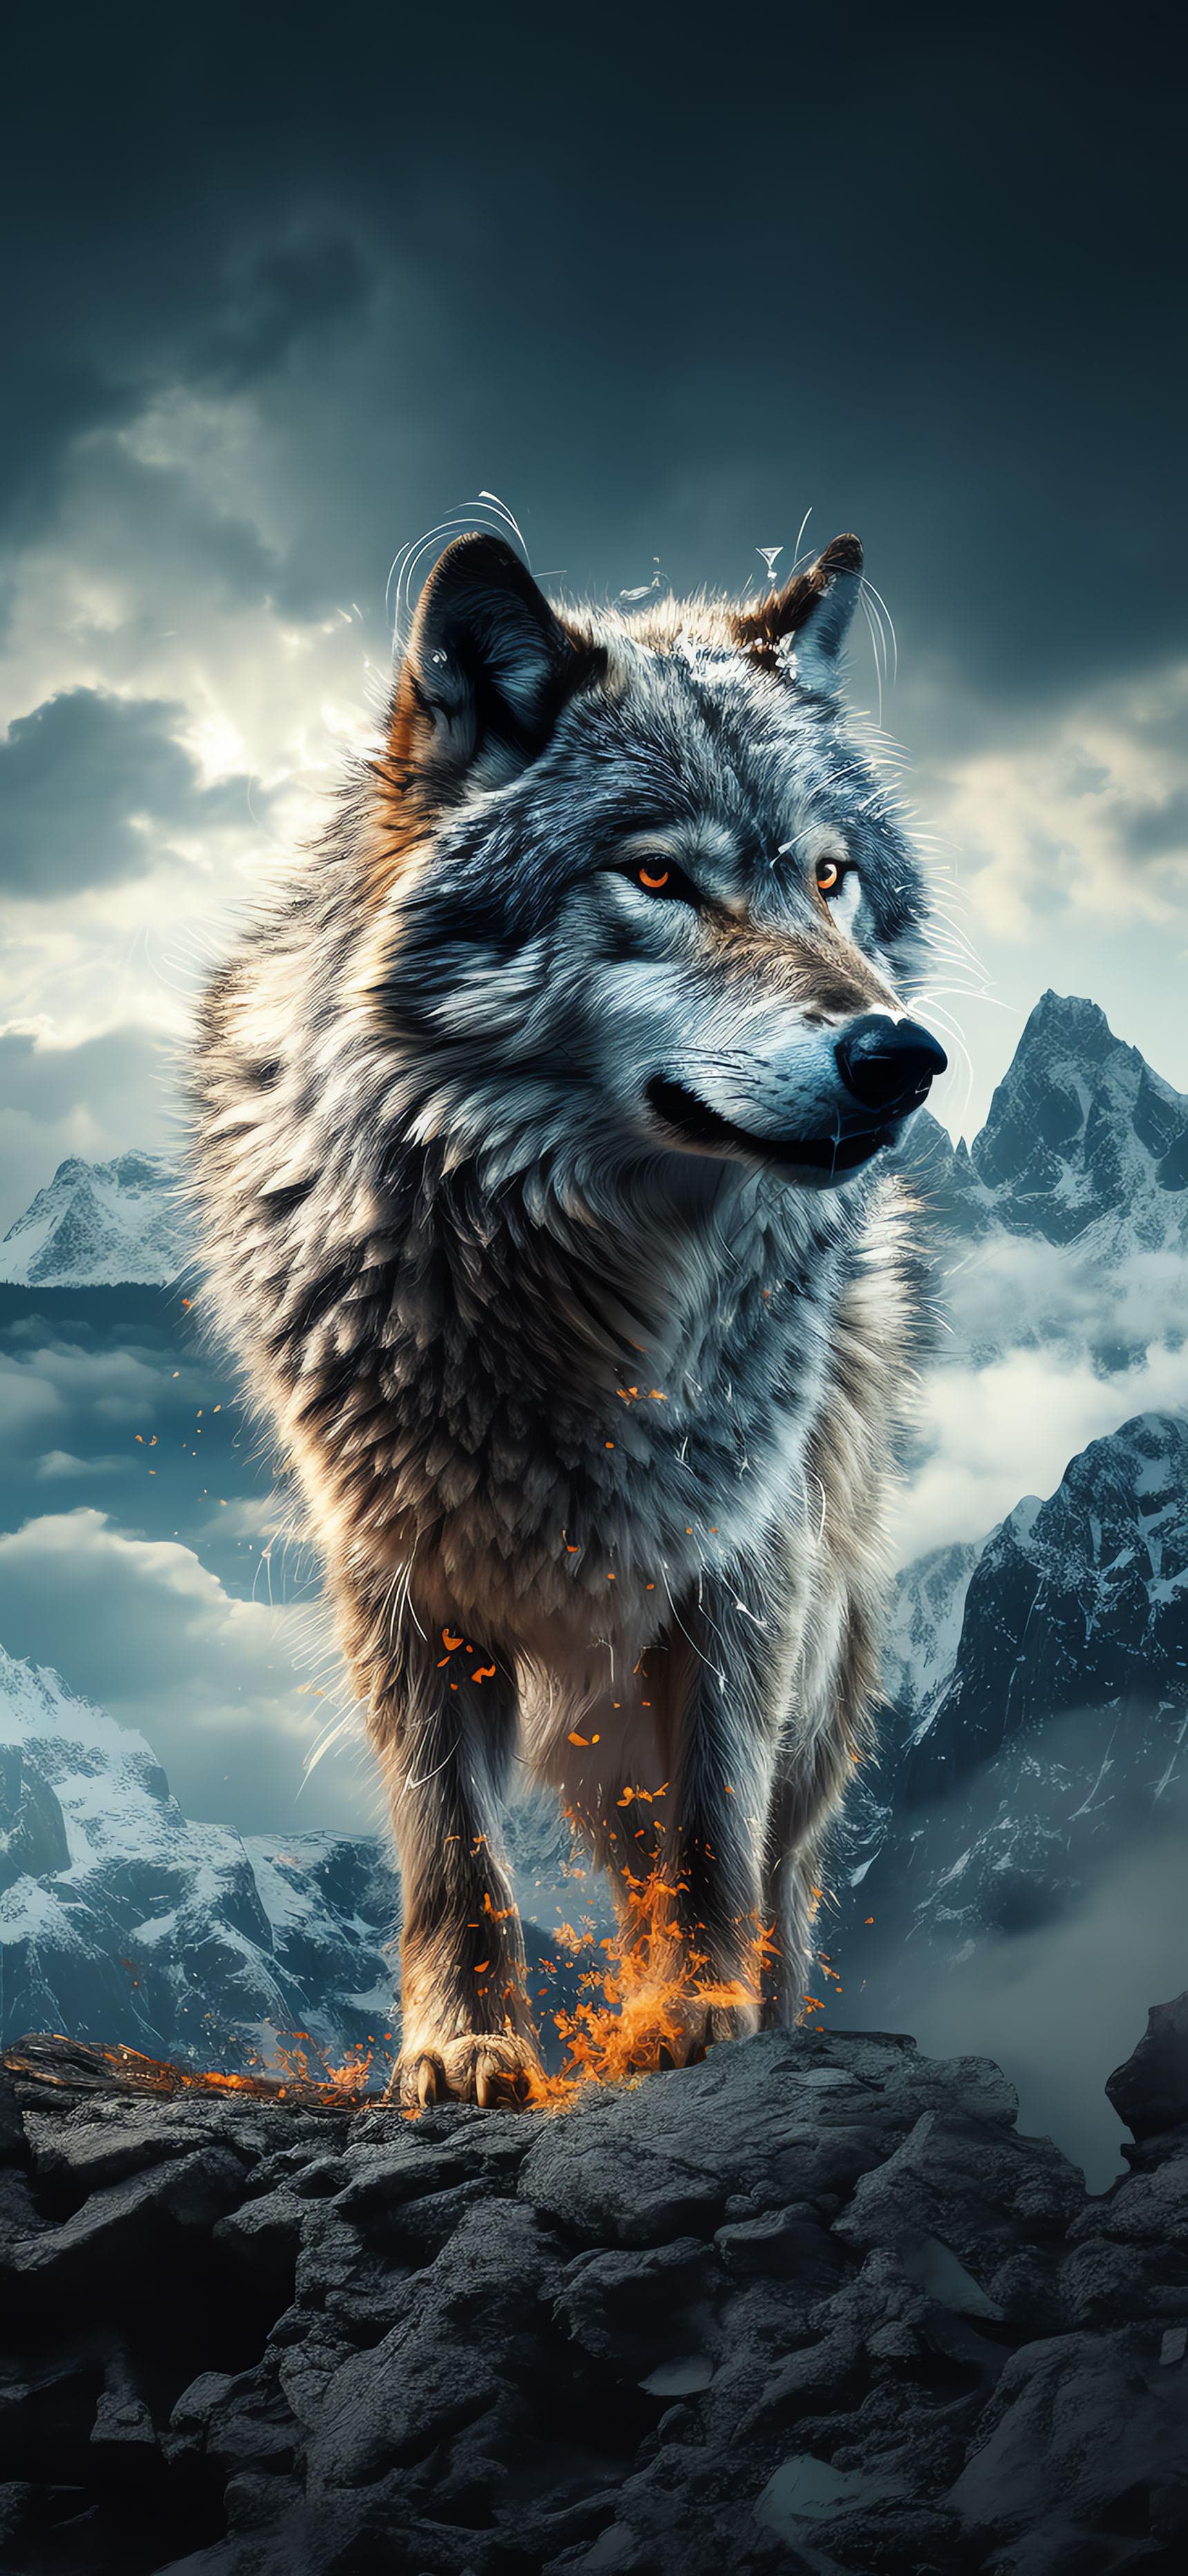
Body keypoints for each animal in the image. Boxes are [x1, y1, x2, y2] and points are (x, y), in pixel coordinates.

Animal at [191, 527, 946, 2108]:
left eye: (829, 876)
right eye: (656, 873)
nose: (902, 1055)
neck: (585, 1293)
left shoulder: (742, 1558)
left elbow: (713, 1829)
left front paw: (700, 2018)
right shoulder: (392, 1571)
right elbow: (451, 1851)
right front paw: (464, 2044)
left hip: (815, 1665)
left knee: (775, 1864)